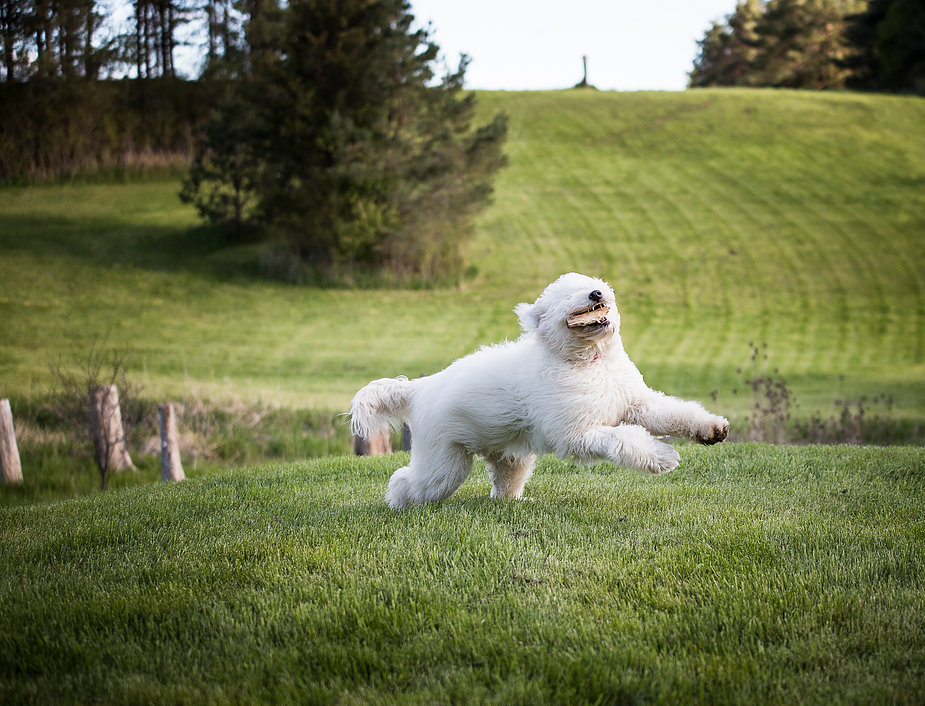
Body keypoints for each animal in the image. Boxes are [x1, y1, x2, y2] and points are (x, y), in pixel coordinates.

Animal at [350, 270, 724, 506]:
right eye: (568, 295)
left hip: (509, 456)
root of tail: (420, 387)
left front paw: (712, 429)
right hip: (444, 463)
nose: (596, 293)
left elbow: (674, 413)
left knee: (503, 486)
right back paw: (397, 503)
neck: (590, 363)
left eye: (593, 284)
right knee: (408, 482)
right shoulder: (578, 434)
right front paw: (662, 457)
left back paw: (517, 501)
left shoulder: (638, 403)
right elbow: (622, 439)